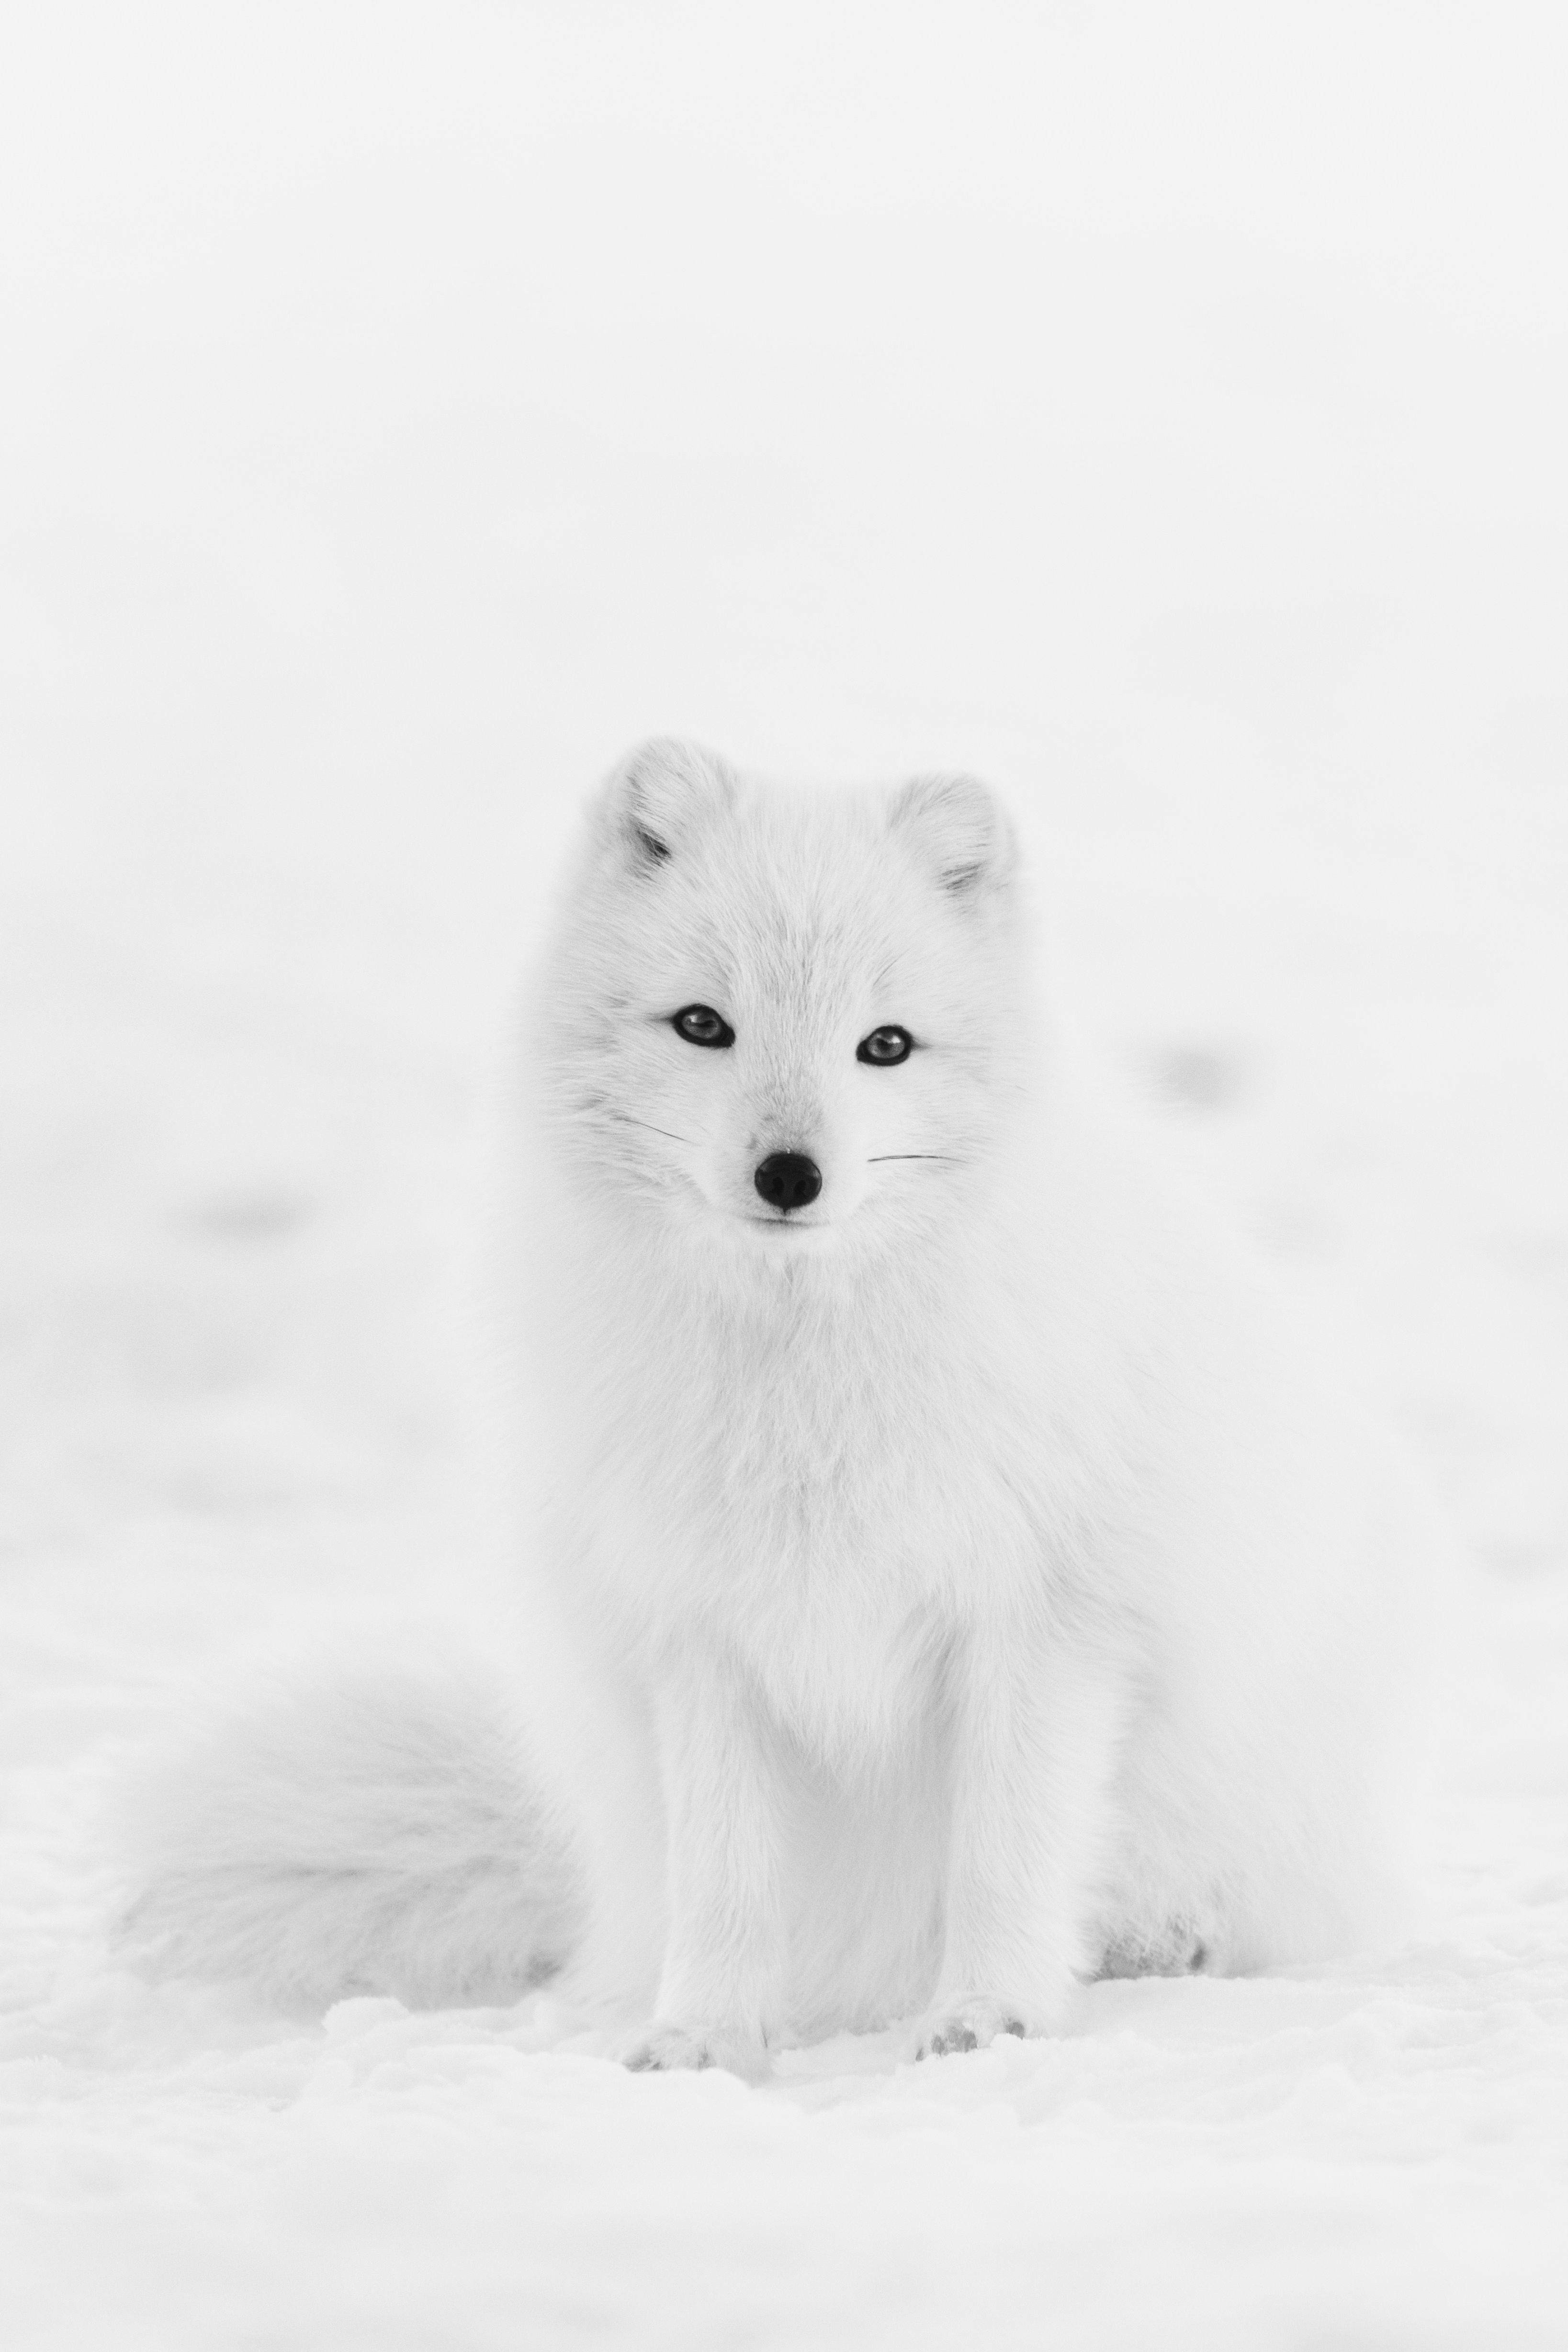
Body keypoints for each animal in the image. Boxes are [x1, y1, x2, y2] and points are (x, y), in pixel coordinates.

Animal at [125, 738, 1444, 2074]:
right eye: (704, 1024)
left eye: (885, 1045)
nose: (789, 1174)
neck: (802, 1379)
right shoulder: (699, 1634)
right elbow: (725, 1879)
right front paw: (705, 2035)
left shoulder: (1042, 1620)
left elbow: (1004, 1854)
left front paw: (989, 2013)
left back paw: (1160, 1938)